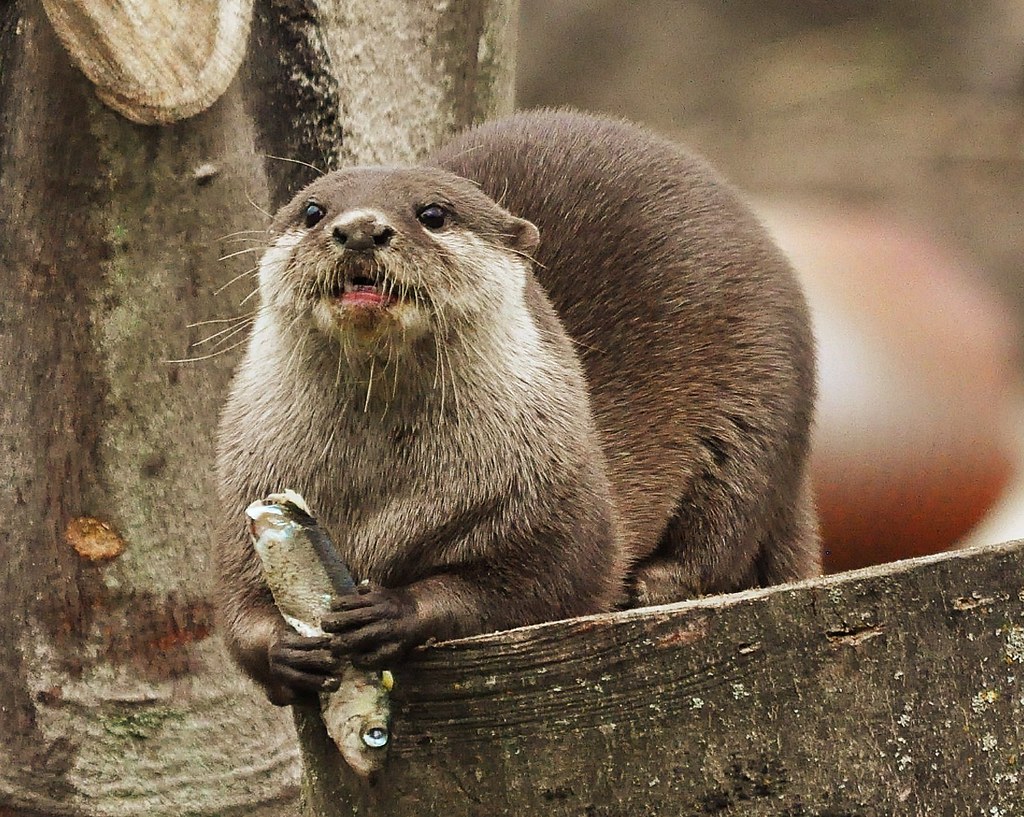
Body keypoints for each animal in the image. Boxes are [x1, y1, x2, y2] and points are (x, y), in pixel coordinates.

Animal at [214, 109, 819, 705]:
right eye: (313, 211)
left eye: (433, 213)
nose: (360, 227)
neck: (376, 493)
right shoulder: (244, 494)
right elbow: (237, 610)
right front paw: (285, 648)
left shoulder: (550, 490)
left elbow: (543, 583)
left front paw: (395, 609)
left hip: (764, 396)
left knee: (731, 519)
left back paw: (655, 583)